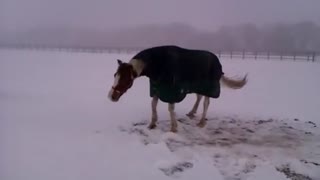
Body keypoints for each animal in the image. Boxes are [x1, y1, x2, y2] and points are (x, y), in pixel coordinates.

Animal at [108, 45, 248, 132]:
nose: (111, 97)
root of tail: (217, 62)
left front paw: (173, 128)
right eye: (115, 75)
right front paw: (152, 124)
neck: (158, 64)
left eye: (126, 79)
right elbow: (153, 104)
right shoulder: (156, 88)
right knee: (199, 97)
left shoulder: (171, 91)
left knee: (206, 103)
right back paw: (192, 112)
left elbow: (170, 108)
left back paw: (201, 122)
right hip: (199, 86)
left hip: (209, 88)